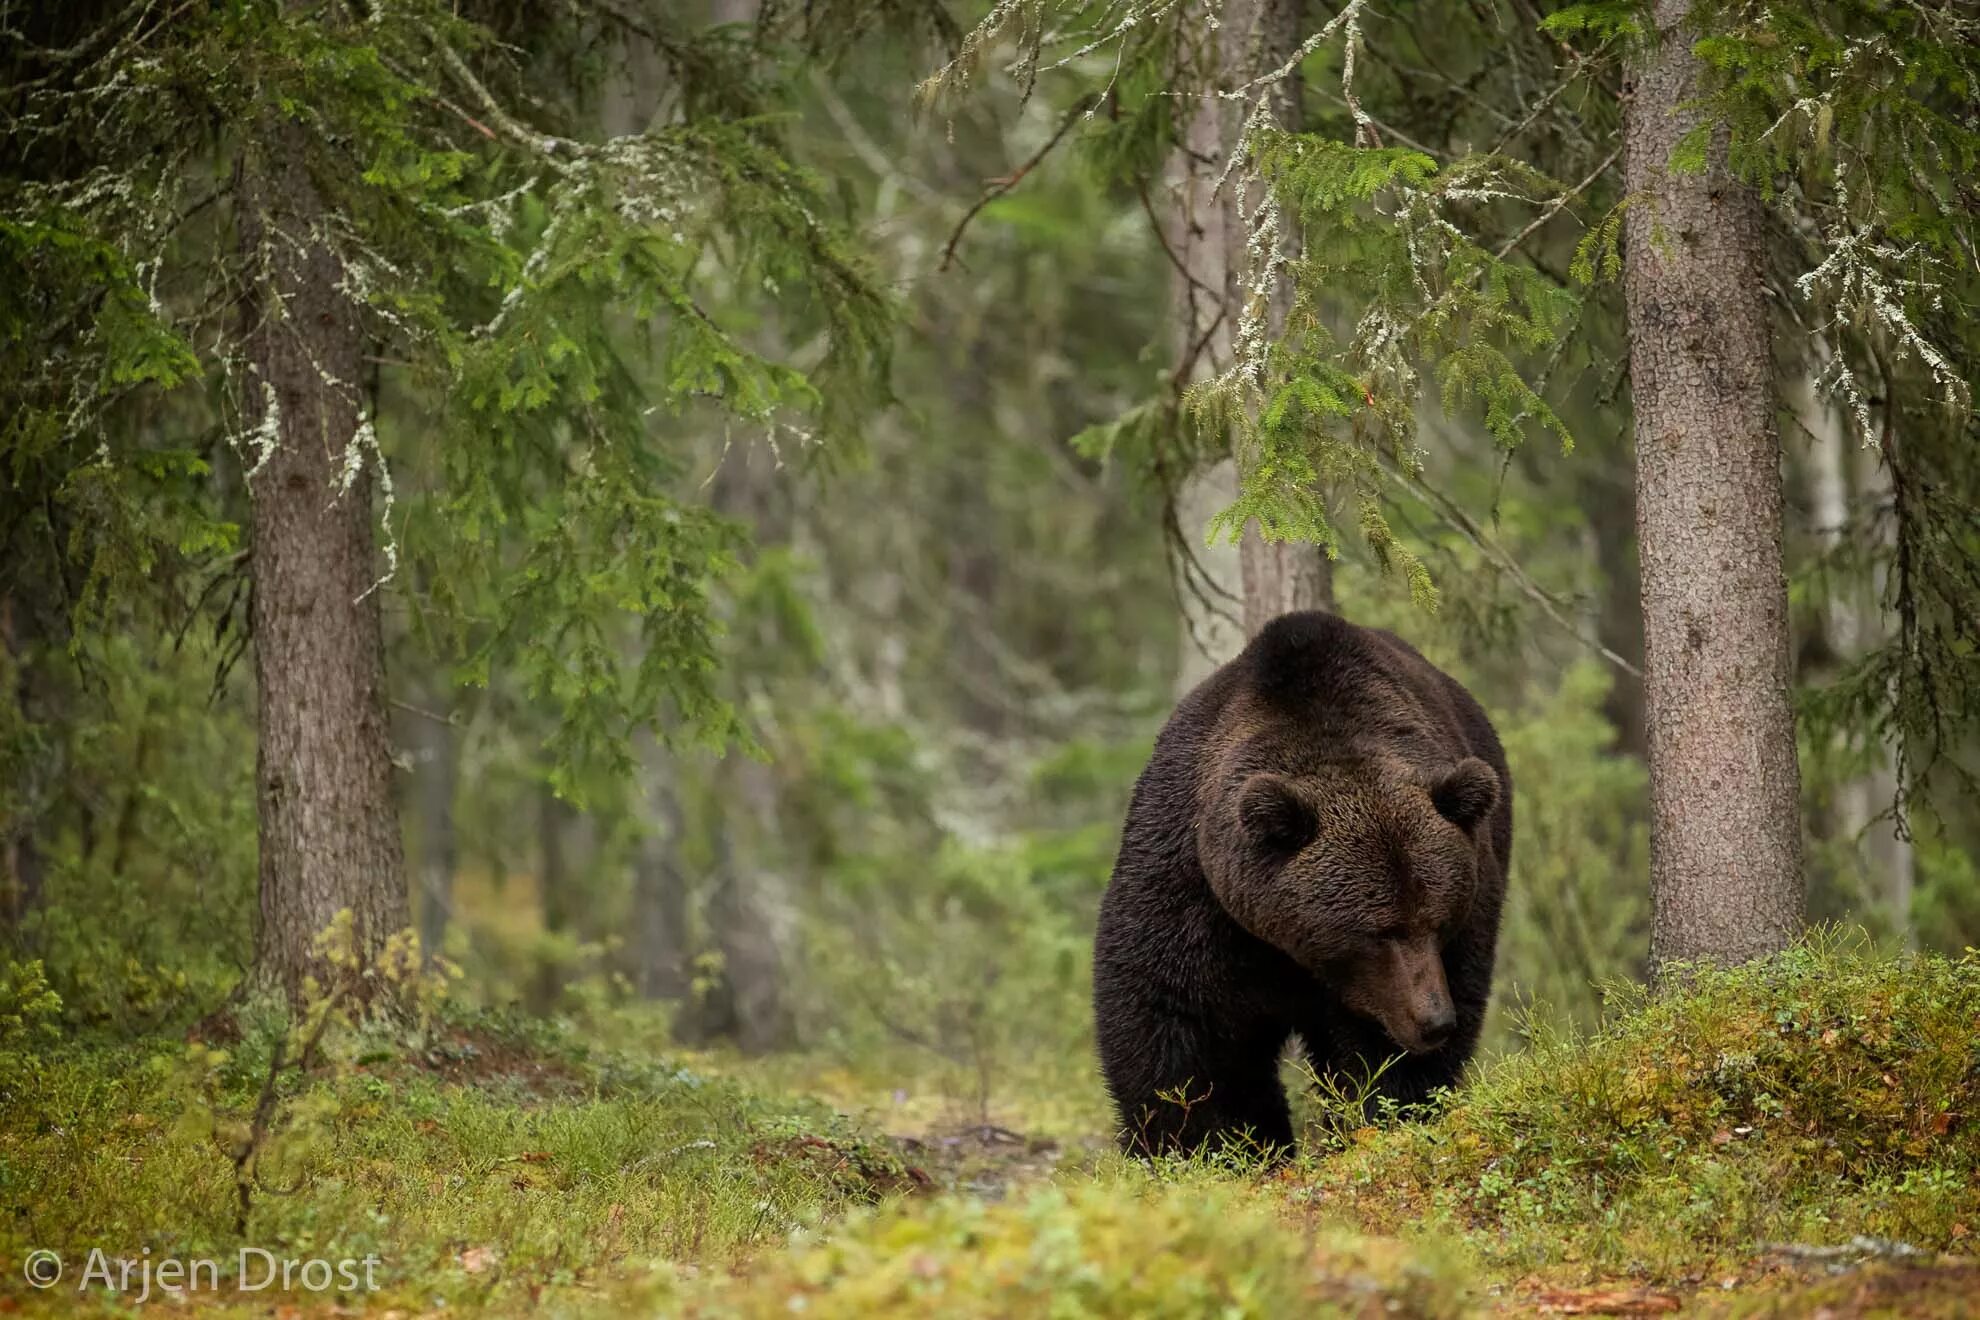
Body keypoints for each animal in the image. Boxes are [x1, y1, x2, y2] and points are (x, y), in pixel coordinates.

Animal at [1092, 613, 1504, 1155]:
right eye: (1380, 931)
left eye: (1439, 923)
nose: (1435, 1021)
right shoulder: (1195, 884)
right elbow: (1176, 1020)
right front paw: (1213, 1146)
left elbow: (1379, 1057)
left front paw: (1377, 1117)